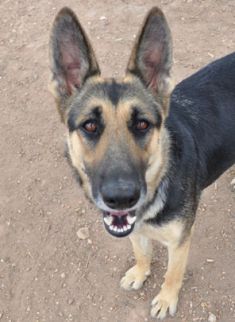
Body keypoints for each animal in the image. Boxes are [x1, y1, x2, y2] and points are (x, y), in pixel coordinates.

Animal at [48, 6, 235, 318]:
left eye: (143, 124)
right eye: (90, 126)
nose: (121, 198)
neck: (160, 178)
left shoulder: (181, 240)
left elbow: (173, 273)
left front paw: (166, 298)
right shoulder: (133, 226)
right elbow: (141, 251)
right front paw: (140, 272)